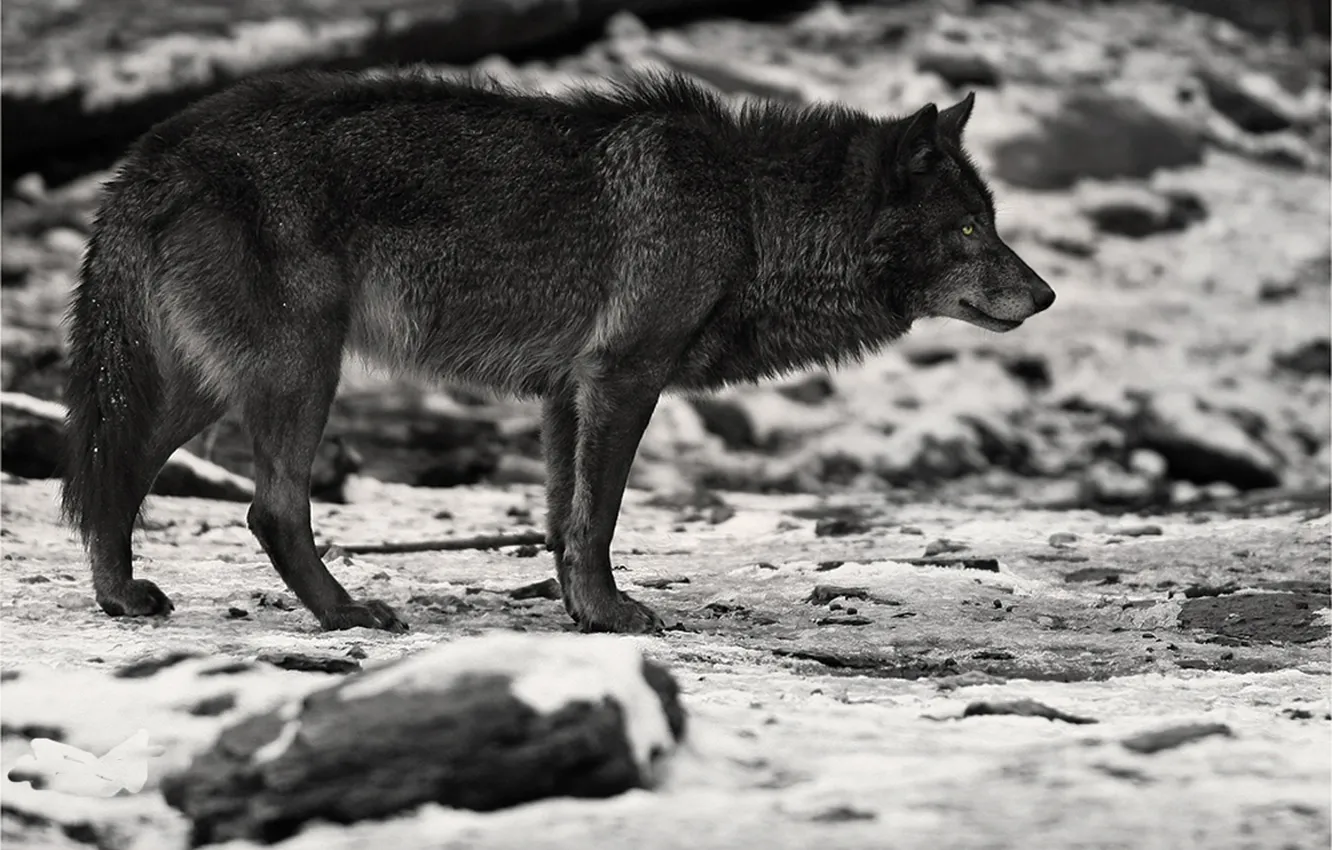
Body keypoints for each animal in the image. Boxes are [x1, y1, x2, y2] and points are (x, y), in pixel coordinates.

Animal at [60, 69, 1054, 635]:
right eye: (969, 229)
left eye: (993, 221)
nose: (1045, 296)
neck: (749, 209)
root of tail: (154, 149)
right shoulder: (622, 379)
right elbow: (600, 517)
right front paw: (612, 616)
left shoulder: (564, 393)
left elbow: (562, 519)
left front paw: (582, 613)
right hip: (301, 369)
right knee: (269, 510)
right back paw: (347, 614)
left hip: (209, 385)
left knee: (115, 475)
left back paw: (122, 598)